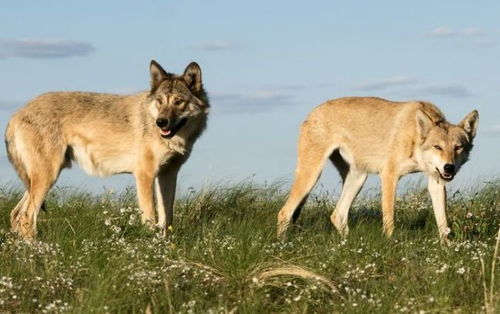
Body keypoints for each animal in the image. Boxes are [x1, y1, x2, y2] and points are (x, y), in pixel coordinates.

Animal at [3, 60, 208, 239]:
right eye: (160, 101)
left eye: (178, 102)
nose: (161, 122)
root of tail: (15, 115)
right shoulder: (145, 175)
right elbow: (151, 219)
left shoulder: (168, 174)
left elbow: (166, 219)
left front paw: (164, 247)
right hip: (47, 177)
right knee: (27, 216)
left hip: (40, 180)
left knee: (16, 214)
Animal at [280, 97, 478, 242]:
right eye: (437, 147)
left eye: (458, 148)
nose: (449, 167)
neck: (414, 138)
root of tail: (312, 113)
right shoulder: (389, 176)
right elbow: (389, 218)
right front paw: (390, 243)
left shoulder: (436, 182)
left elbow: (443, 222)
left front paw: (447, 247)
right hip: (312, 176)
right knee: (285, 213)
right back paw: (283, 245)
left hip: (358, 178)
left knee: (338, 215)